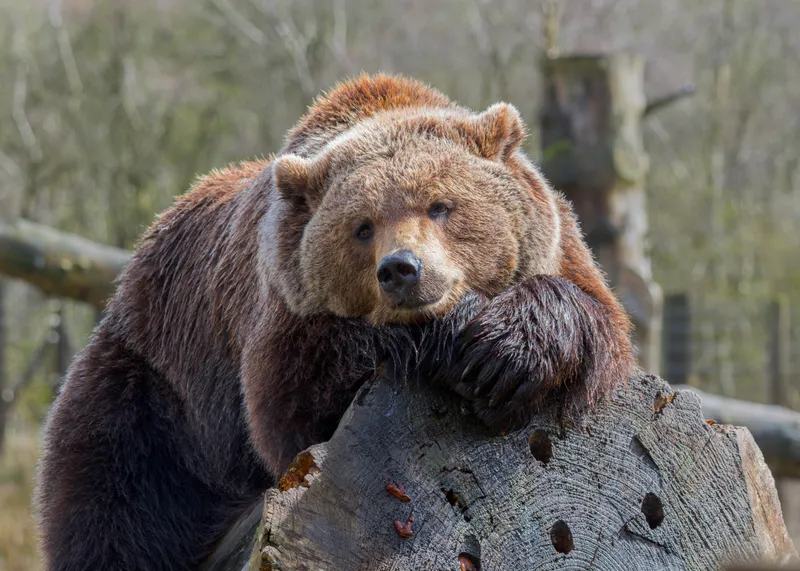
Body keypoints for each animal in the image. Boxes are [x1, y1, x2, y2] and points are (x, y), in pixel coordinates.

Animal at [35, 74, 634, 571]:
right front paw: (450, 334)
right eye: (362, 226)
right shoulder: (281, 305)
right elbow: (294, 399)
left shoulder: (562, 250)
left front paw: (501, 356)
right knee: (113, 500)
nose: (402, 269)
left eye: (440, 205)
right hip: (157, 394)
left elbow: (591, 317)